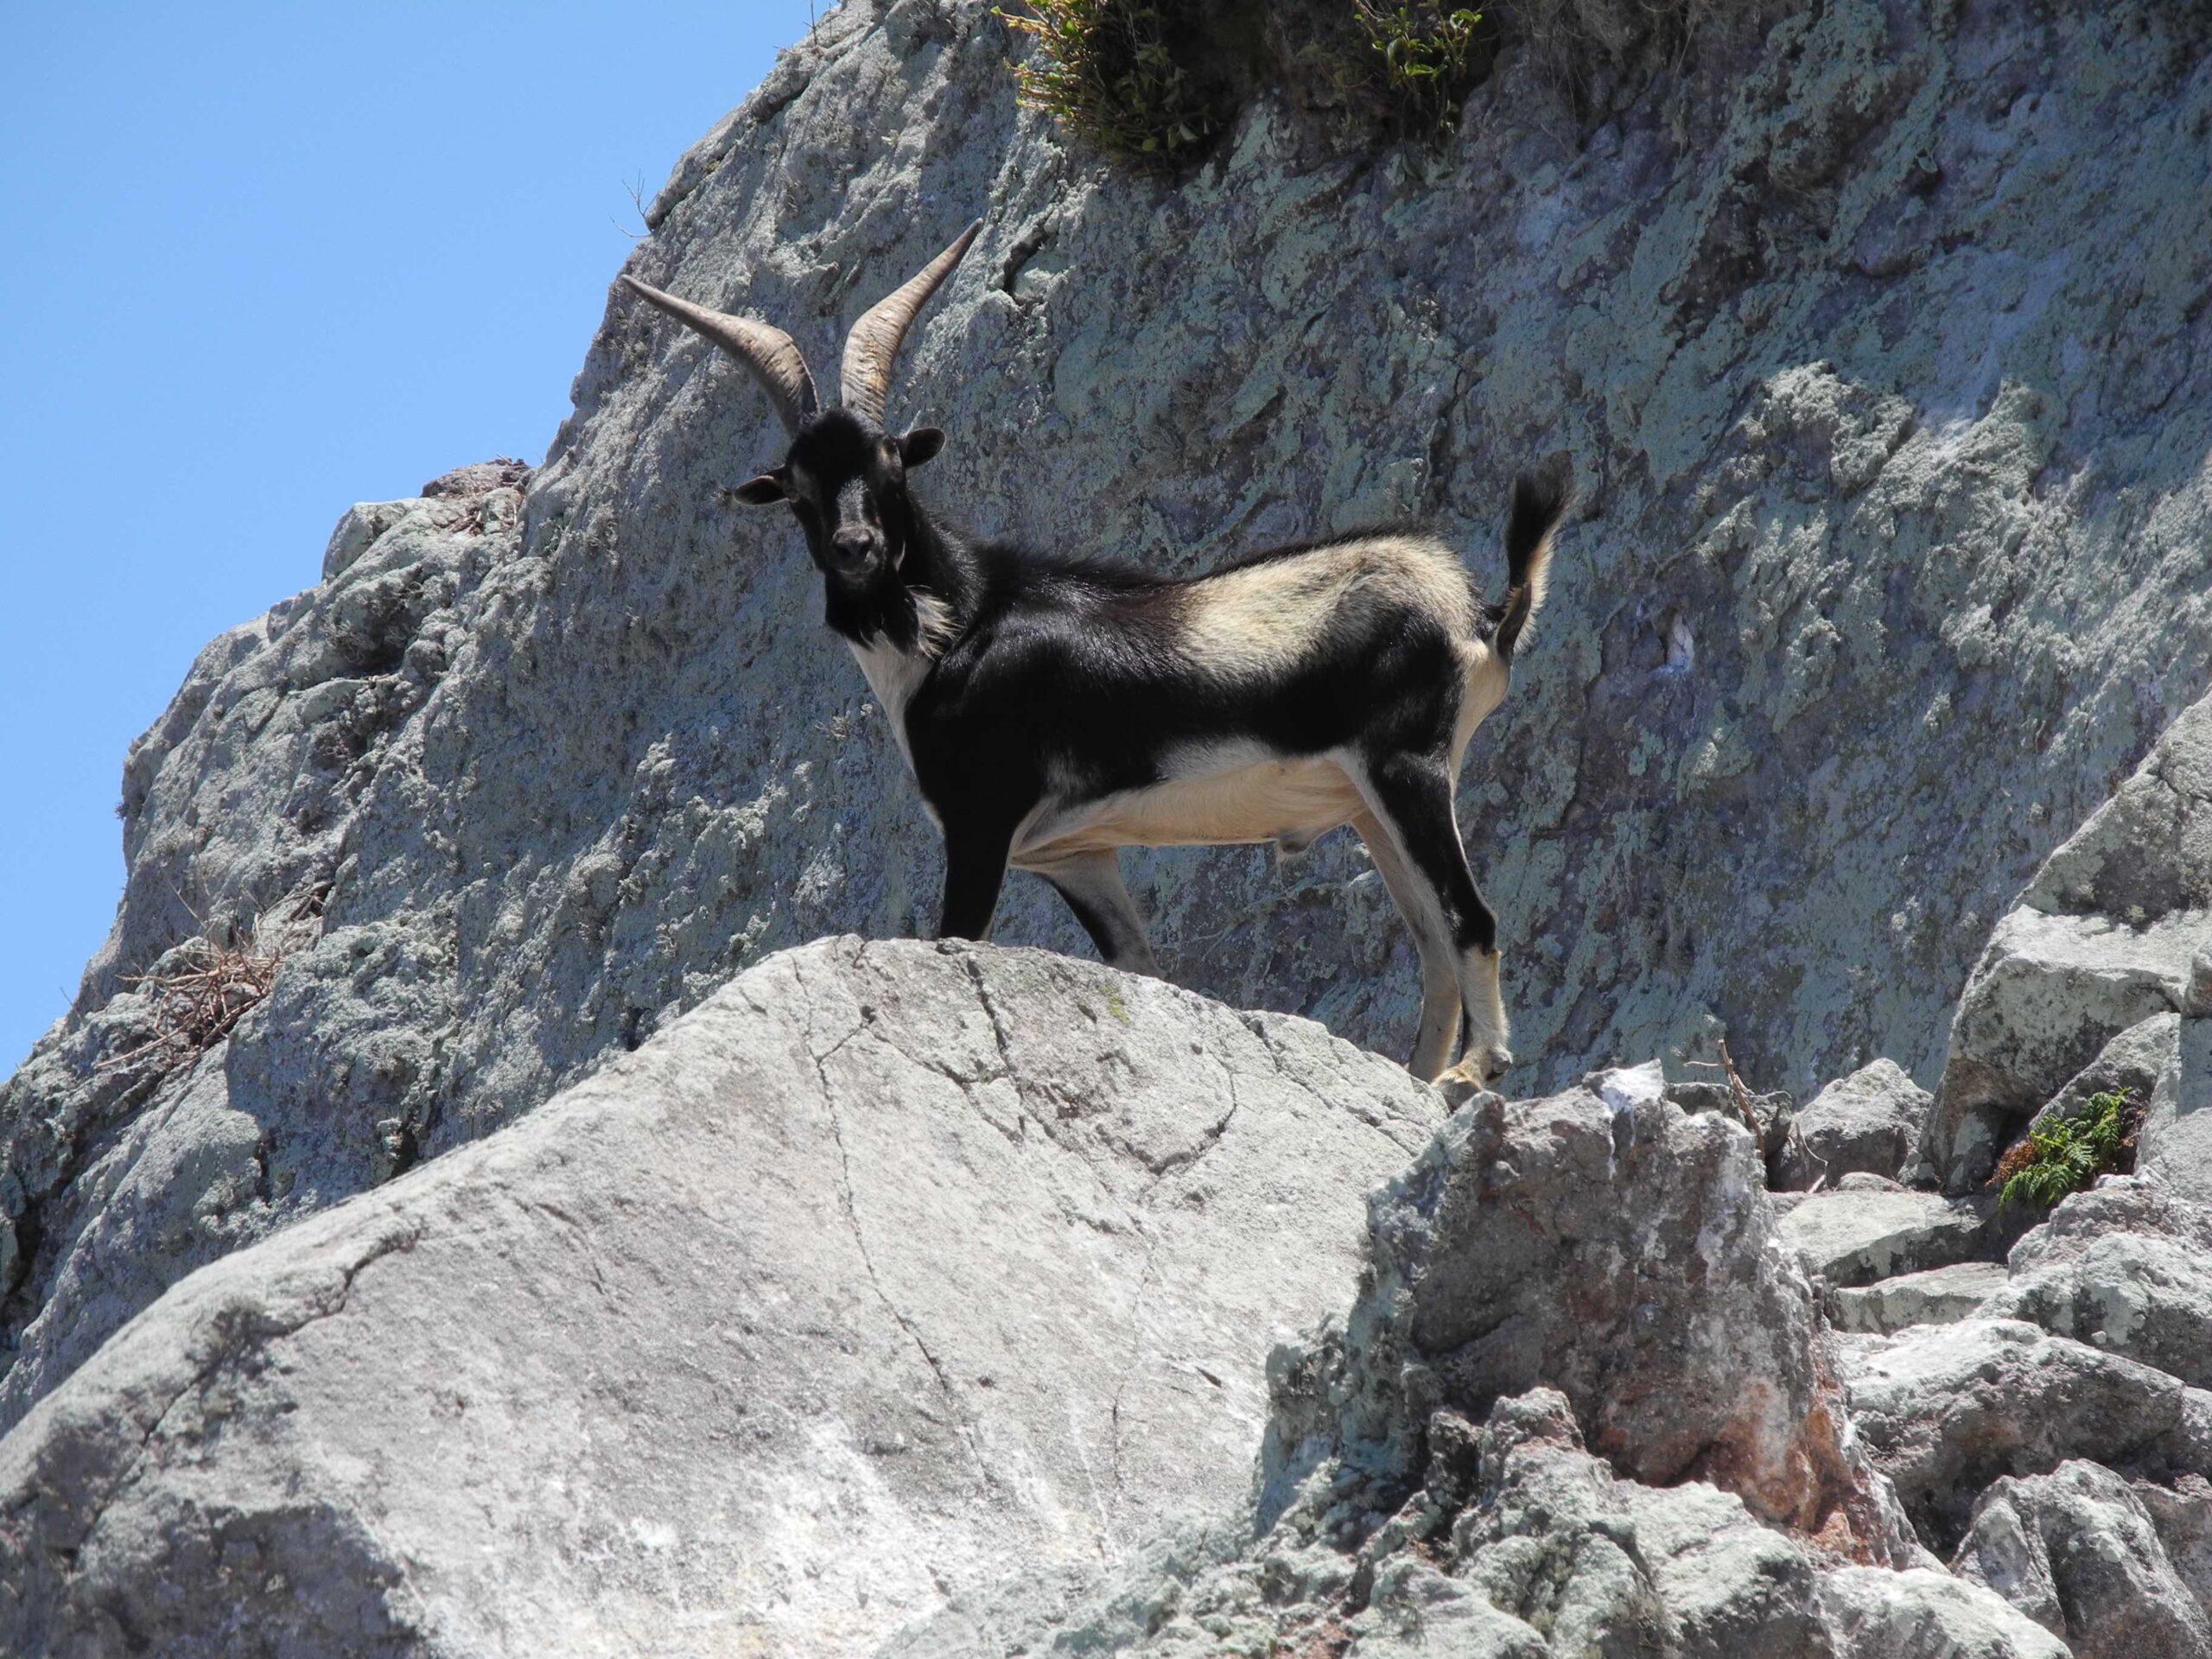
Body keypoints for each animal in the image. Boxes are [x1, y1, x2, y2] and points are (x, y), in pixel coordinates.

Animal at [621, 223, 1565, 1086]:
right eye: (798, 488)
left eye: (891, 466)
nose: (857, 548)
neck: (965, 622)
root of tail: (1477, 609)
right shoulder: (1075, 854)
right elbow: (1140, 967)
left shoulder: (981, 823)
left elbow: (957, 935)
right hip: (1370, 802)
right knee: (1433, 944)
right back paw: (1419, 1077)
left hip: (1407, 768)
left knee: (1471, 919)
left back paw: (1476, 1072)